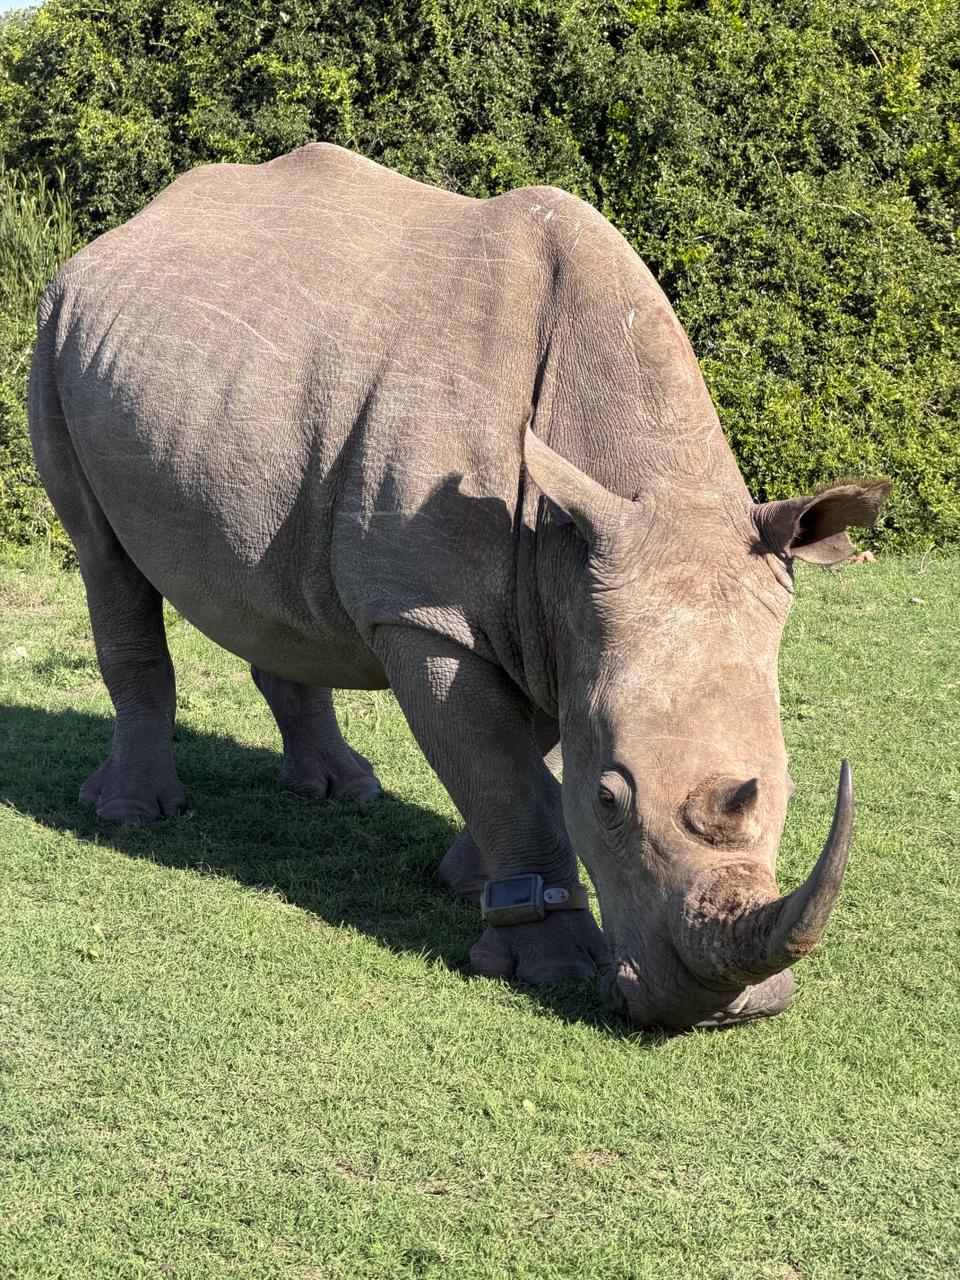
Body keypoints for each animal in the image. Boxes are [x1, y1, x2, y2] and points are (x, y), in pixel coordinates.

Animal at [29, 144, 888, 1029]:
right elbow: (506, 775)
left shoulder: (560, 601)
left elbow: (518, 759)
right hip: (55, 332)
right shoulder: (428, 614)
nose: (724, 1010)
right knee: (103, 557)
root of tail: (121, 232)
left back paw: (340, 791)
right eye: (610, 801)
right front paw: (550, 963)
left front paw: (468, 880)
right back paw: (131, 813)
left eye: (786, 787)